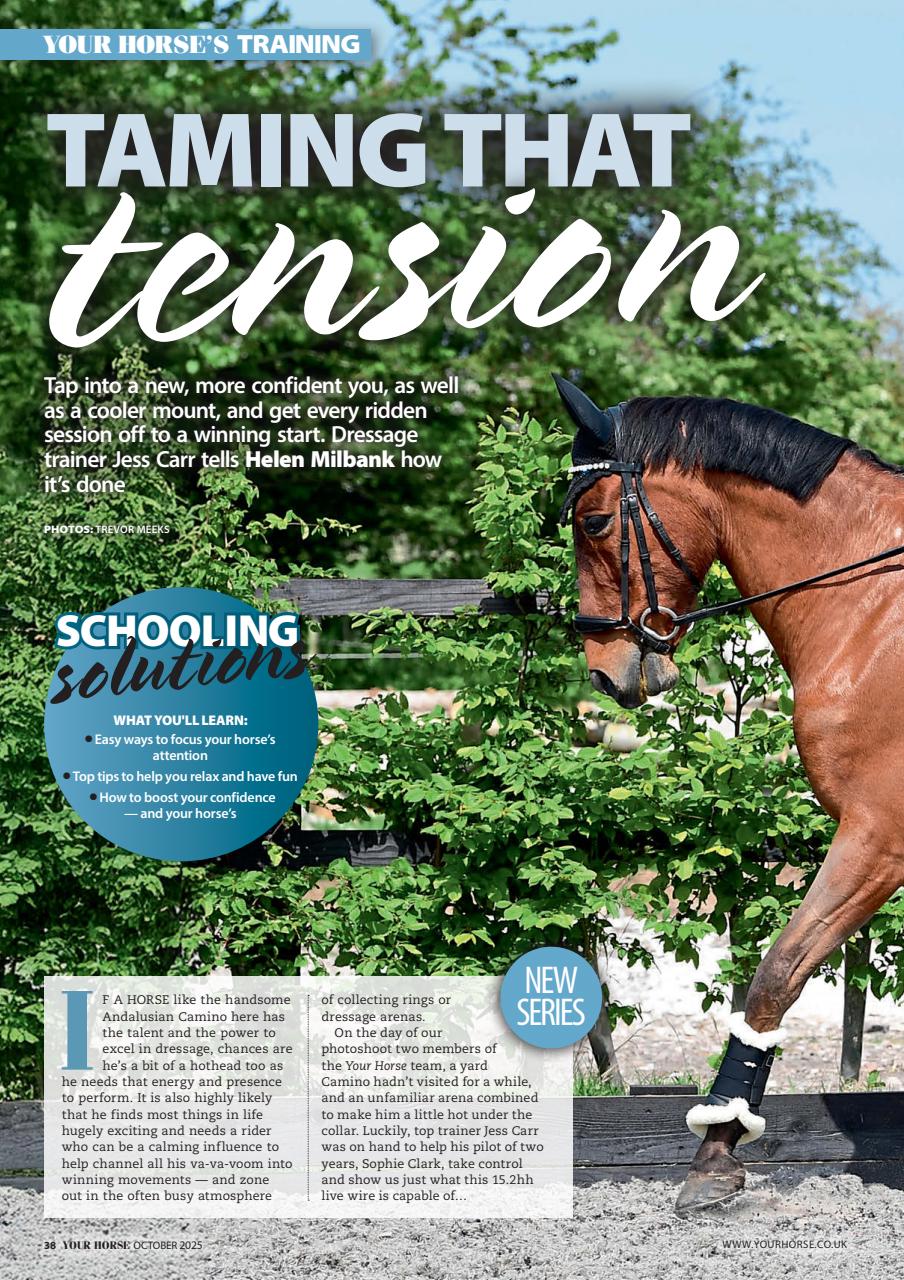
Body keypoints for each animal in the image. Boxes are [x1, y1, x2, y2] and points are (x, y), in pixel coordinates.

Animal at [555, 376, 904, 1214]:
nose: (606, 674)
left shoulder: (877, 833)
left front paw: (714, 1155)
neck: (872, 609)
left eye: (594, 520)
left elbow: (775, 974)